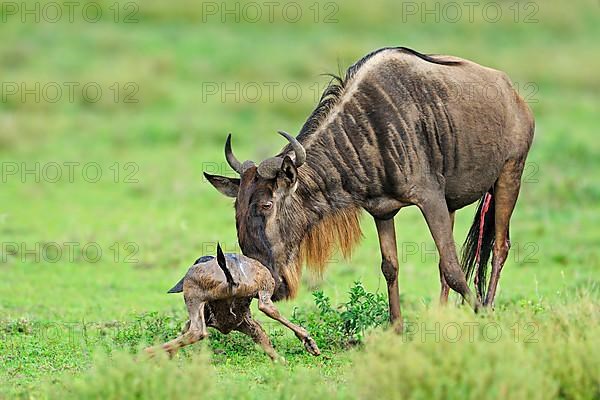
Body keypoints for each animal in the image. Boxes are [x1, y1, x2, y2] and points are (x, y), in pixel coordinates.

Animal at [144, 244, 318, 360]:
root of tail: (231, 276)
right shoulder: (246, 323)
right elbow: (266, 342)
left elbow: (186, 329)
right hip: (263, 285)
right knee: (267, 309)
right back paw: (309, 343)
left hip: (192, 289)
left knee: (197, 331)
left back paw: (145, 353)